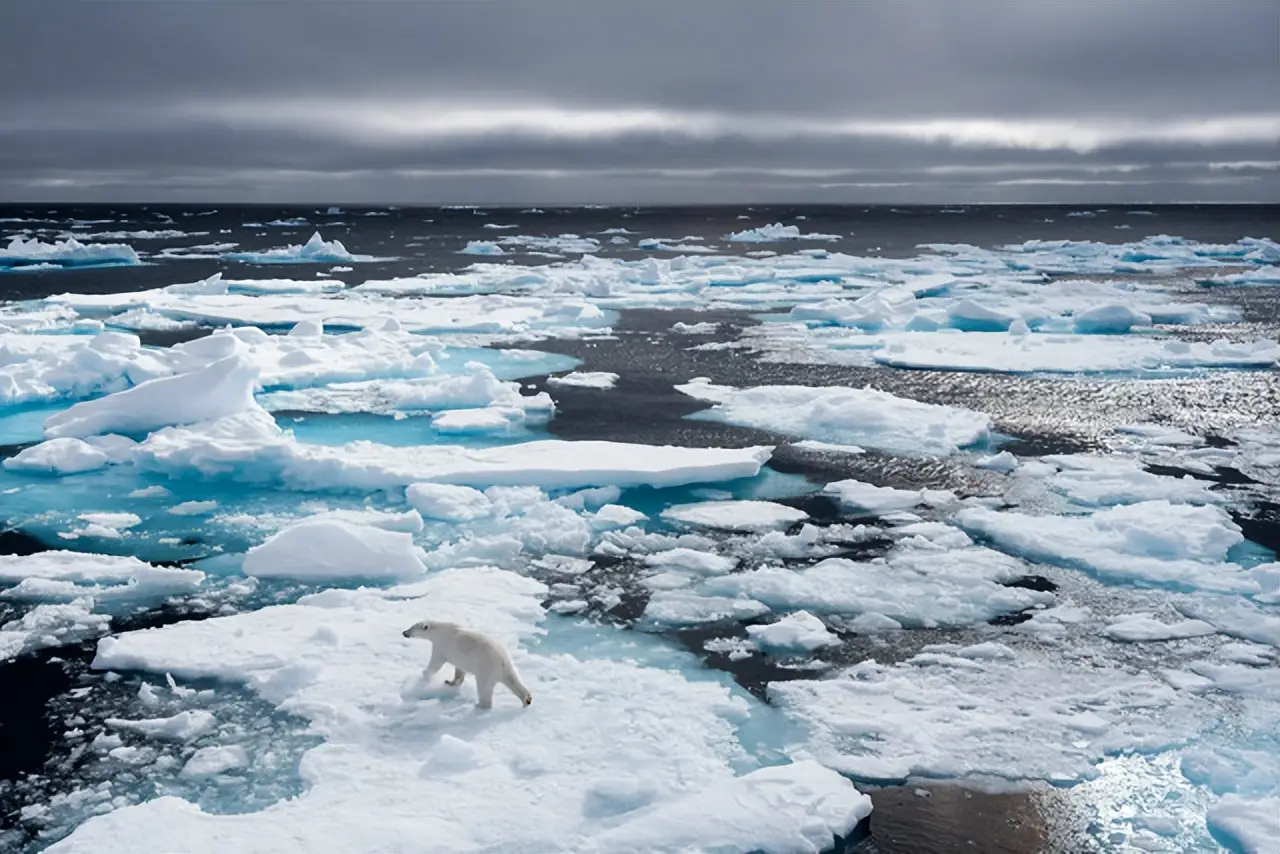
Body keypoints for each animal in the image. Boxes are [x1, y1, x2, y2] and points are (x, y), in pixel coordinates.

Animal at [404, 617, 535, 711]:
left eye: (412, 628)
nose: (404, 632)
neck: (439, 630)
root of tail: (502, 660)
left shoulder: (442, 646)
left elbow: (436, 663)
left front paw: (425, 674)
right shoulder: (458, 657)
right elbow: (459, 670)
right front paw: (450, 682)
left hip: (486, 668)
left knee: (484, 688)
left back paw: (479, 705)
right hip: (507, 667)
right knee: (513, 680)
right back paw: (527, 699)